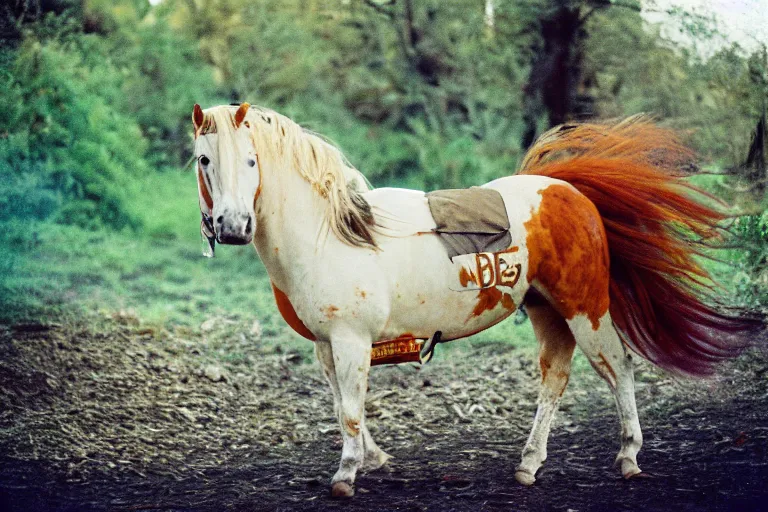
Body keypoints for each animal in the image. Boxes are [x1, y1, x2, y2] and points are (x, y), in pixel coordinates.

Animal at [192, 102, 760, 498]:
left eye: (251, 160)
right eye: (203, 160)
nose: (234, 225)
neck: (331, 232)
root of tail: (567, 189)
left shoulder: (351, 341)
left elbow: (350, 409)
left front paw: (347, 473)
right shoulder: (326, 346)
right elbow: (340, 405)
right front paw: (373, 459)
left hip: (585, 308)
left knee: (618, 367)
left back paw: (628, 456)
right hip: (547, 312)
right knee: (555, 375)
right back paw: (529, 464)